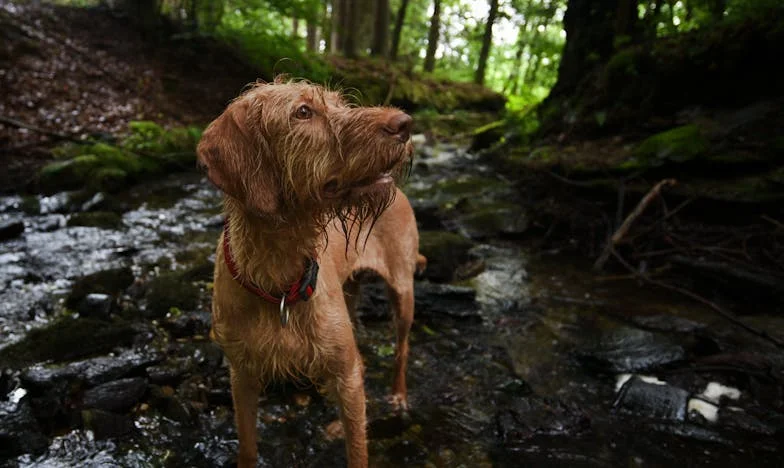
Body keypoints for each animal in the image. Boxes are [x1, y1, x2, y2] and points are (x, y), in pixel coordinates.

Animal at [199, 78, 426, 466]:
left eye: (340, 104)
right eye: (303, 112)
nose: (404, 123)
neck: (277, 279)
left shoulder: (345, 371)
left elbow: (358, 451)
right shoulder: (242, 376)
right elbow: (248, 447)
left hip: (402, 293)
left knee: (401, 350)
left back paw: (397, 396)